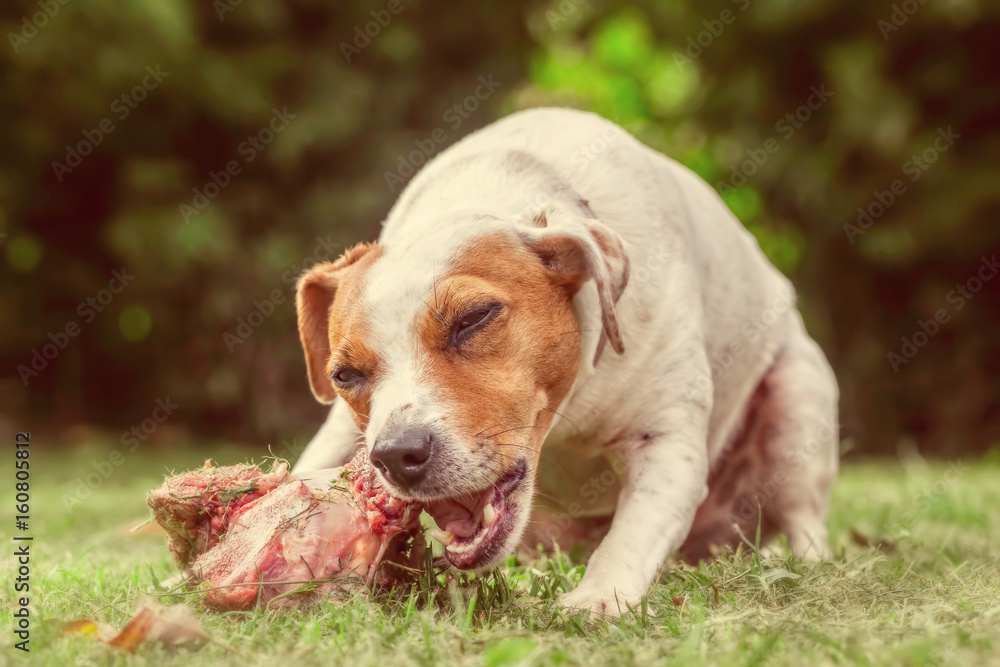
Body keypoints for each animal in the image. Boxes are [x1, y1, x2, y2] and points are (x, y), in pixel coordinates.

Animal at [292, 107, 840, 620]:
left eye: (474, 317)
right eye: (345, 375)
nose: (396, 455)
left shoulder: (667, 442)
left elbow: (629, 536)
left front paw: (598, 597)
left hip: (798, 401)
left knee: (805, 519)